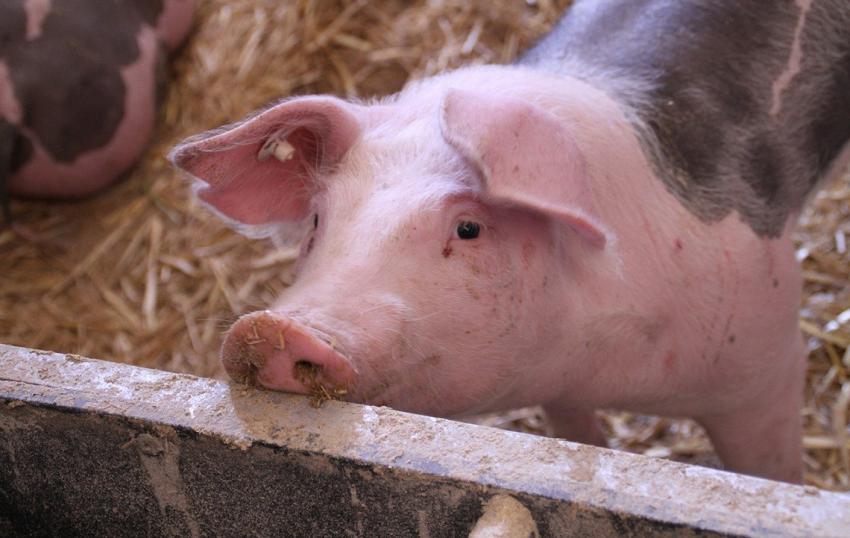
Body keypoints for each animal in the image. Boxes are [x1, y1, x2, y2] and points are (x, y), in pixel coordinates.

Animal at [171, 0, 850, 483]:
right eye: (317, 221)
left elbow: (772, 473)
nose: (270, 331)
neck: (588, 356)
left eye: (469, 228)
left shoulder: (766, 361)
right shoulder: (562, 392)